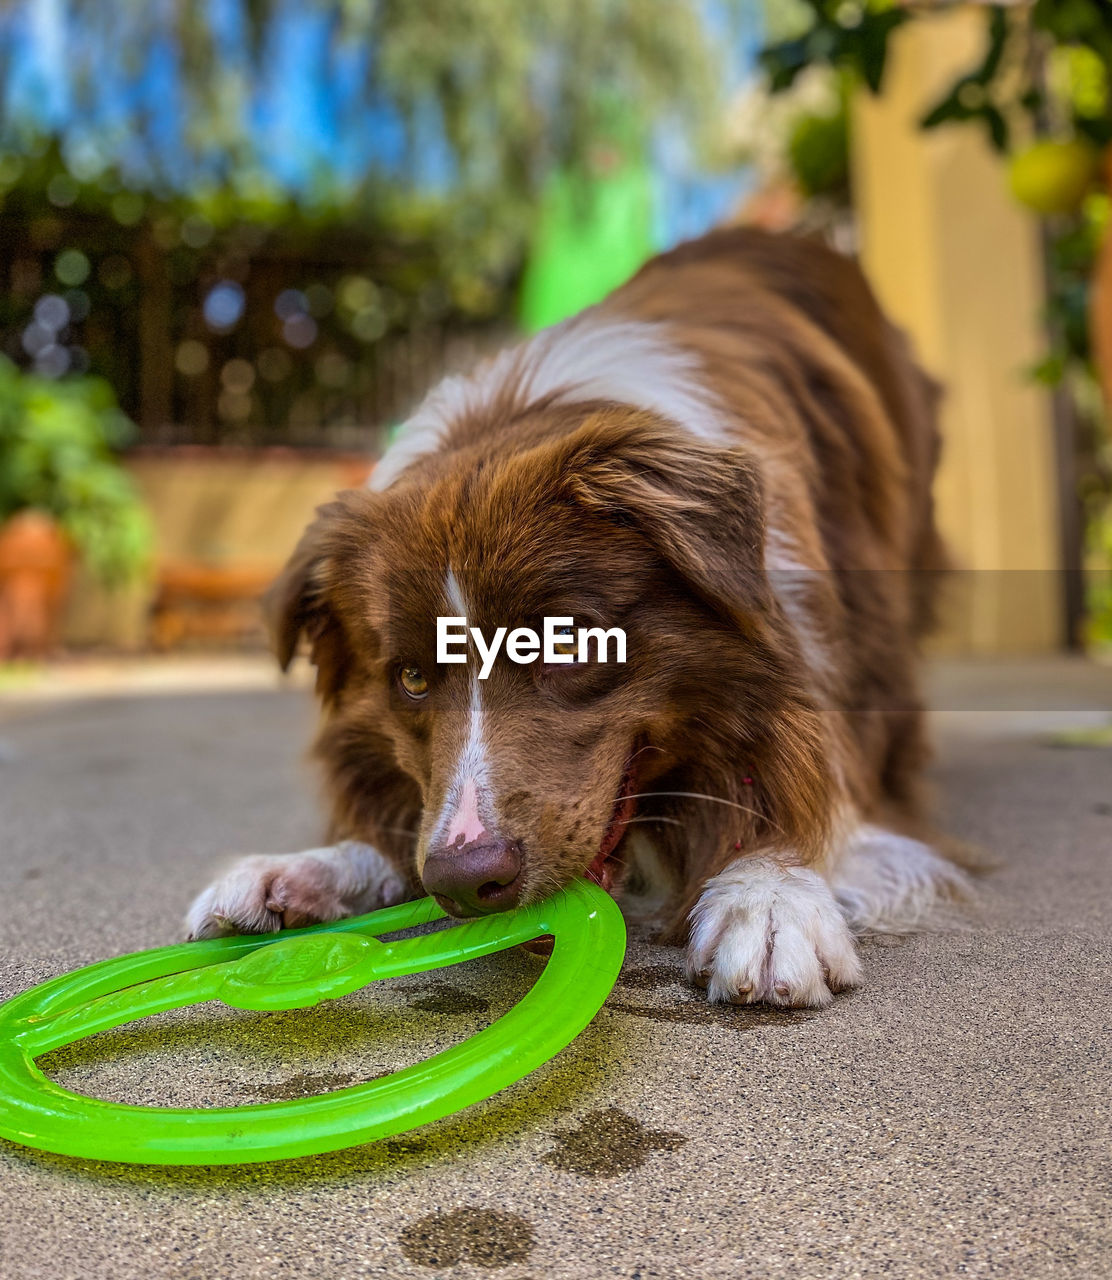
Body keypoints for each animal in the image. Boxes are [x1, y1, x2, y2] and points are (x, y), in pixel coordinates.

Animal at [186, 230, 967, 1008]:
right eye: (410, 677)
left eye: (566, 642)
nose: (465, 880)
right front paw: (308, 868)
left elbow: (811, 793)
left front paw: (770, 895)